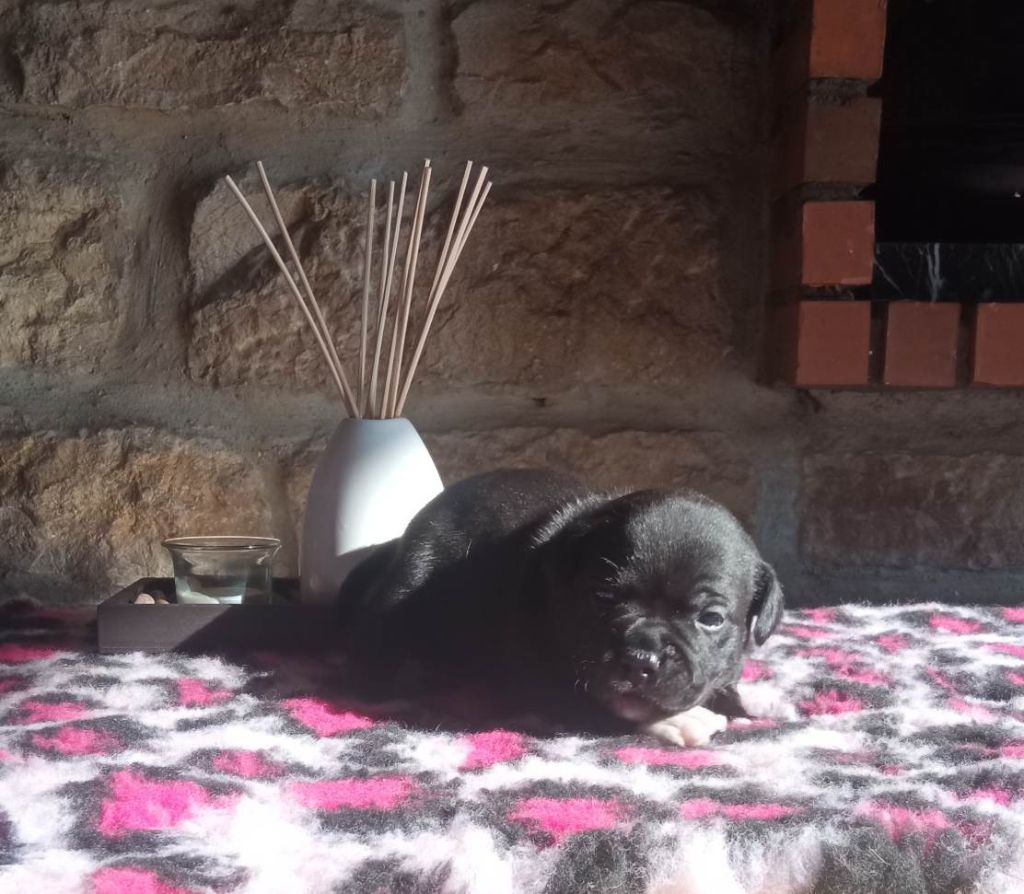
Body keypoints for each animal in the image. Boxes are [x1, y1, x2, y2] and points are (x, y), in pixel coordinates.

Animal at [337, 469, 783, 746]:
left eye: (711, 619)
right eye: (601, 597)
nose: (642, 658)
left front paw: (738, 702)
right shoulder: (541, 677)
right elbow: (599, 702)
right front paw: (680, 720)